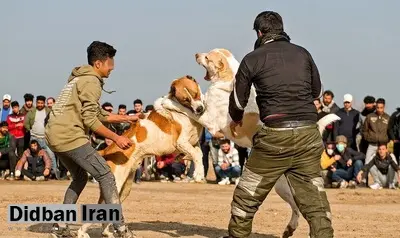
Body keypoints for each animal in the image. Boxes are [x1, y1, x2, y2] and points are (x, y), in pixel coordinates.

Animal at [76, 75, 205, 238]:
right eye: (186, 99)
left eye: (196, 93)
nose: (200, 109)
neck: (182, 112)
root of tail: (106, 150)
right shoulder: (181, 142)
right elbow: (195, 155)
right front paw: (198, 174)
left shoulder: (194, 143)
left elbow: (198, 153)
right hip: (115, 183)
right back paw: (82, 233)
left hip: (123, 189)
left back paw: (107, 232)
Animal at [160, 48, 340, 238]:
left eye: (207, 57)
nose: (196, 55)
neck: (227, 81)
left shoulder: (209, 120)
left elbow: (187, 109)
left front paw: (167, 102)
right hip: (283, 187)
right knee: (298, 207)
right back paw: (289, 228)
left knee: (298, 207)